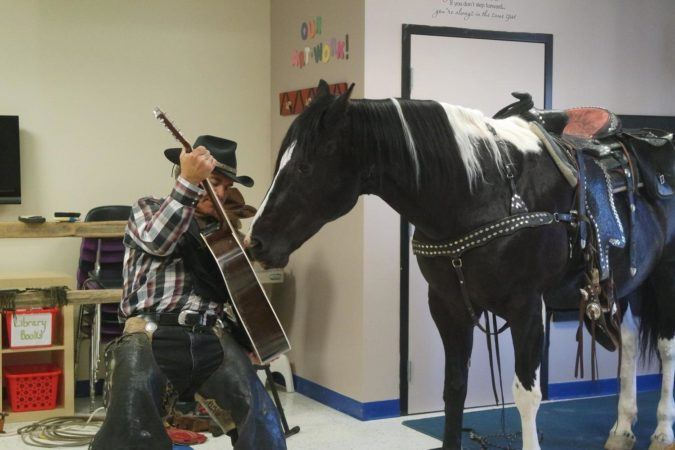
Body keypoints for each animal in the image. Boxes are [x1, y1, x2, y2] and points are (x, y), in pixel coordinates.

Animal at [247, 81, 675, 450]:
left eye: (303, 167)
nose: (256, 240)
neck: (485, 192)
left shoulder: (525, 308)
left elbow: (526, 395)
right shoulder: (449, 306)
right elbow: (455, 386)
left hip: (663, 277)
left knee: (666, 349)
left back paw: (662, 432)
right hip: (629, 282)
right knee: (630, 343)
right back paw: (621, 429)